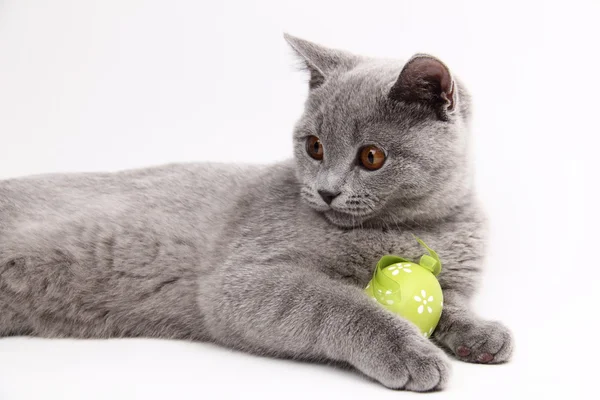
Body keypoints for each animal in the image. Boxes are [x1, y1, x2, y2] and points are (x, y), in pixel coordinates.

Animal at [1, 34, 510, 390]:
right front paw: (411, 353)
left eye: (371, 157)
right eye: (314, 146)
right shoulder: (243, 279)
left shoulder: (455, 279)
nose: (326, 192)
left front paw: (484, 335)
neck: (416, 228)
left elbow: (449, 304)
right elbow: (342, 302)